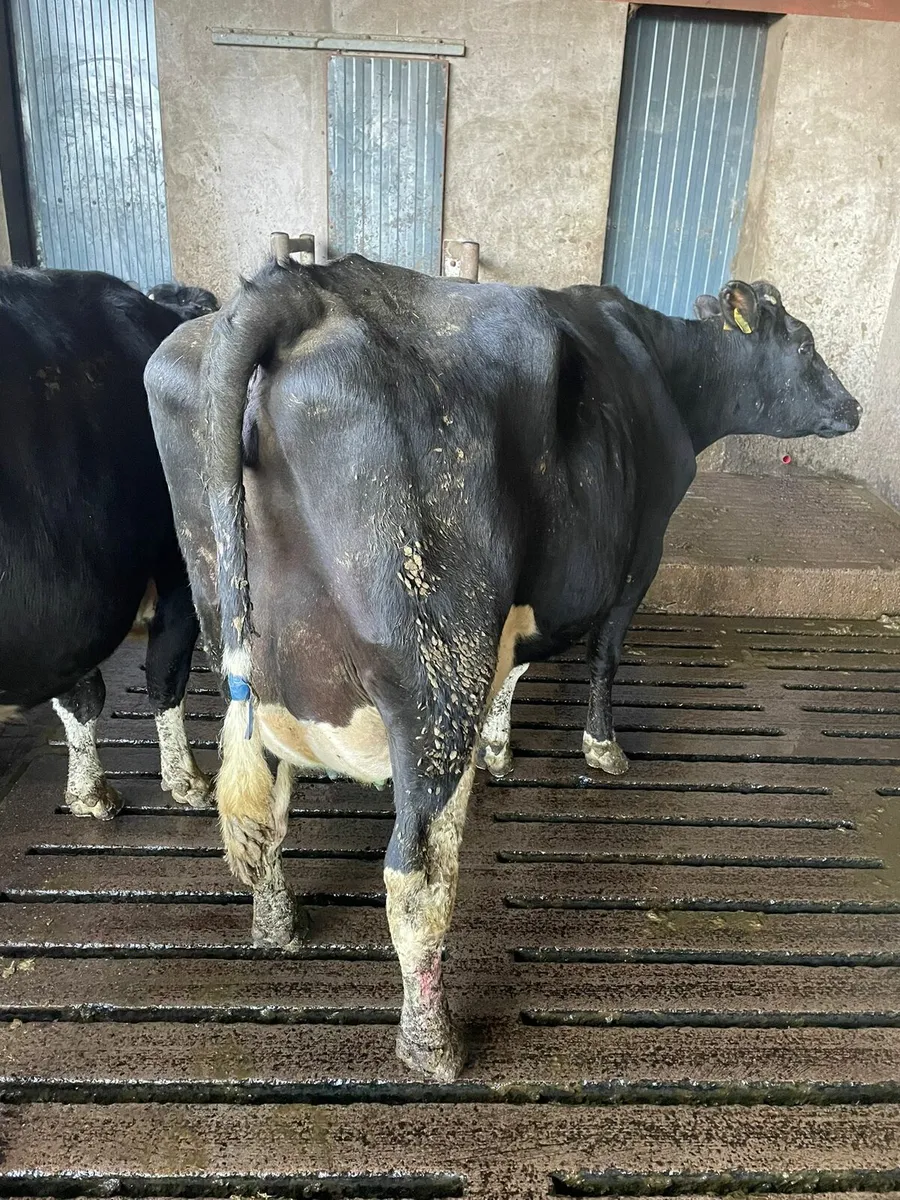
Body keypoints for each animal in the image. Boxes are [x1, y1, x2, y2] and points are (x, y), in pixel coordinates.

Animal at [145, 254, 860, 1081]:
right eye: (804, 344)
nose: (854, 406)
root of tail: (305, 287)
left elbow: (515, 670)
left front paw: (500, 746)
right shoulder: (641, 553)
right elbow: (606, 652)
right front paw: (602, 748)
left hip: (241, 644)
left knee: (265, 817)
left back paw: (277, 927)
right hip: (434, 670)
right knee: (416, 874)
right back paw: (433, 1043)